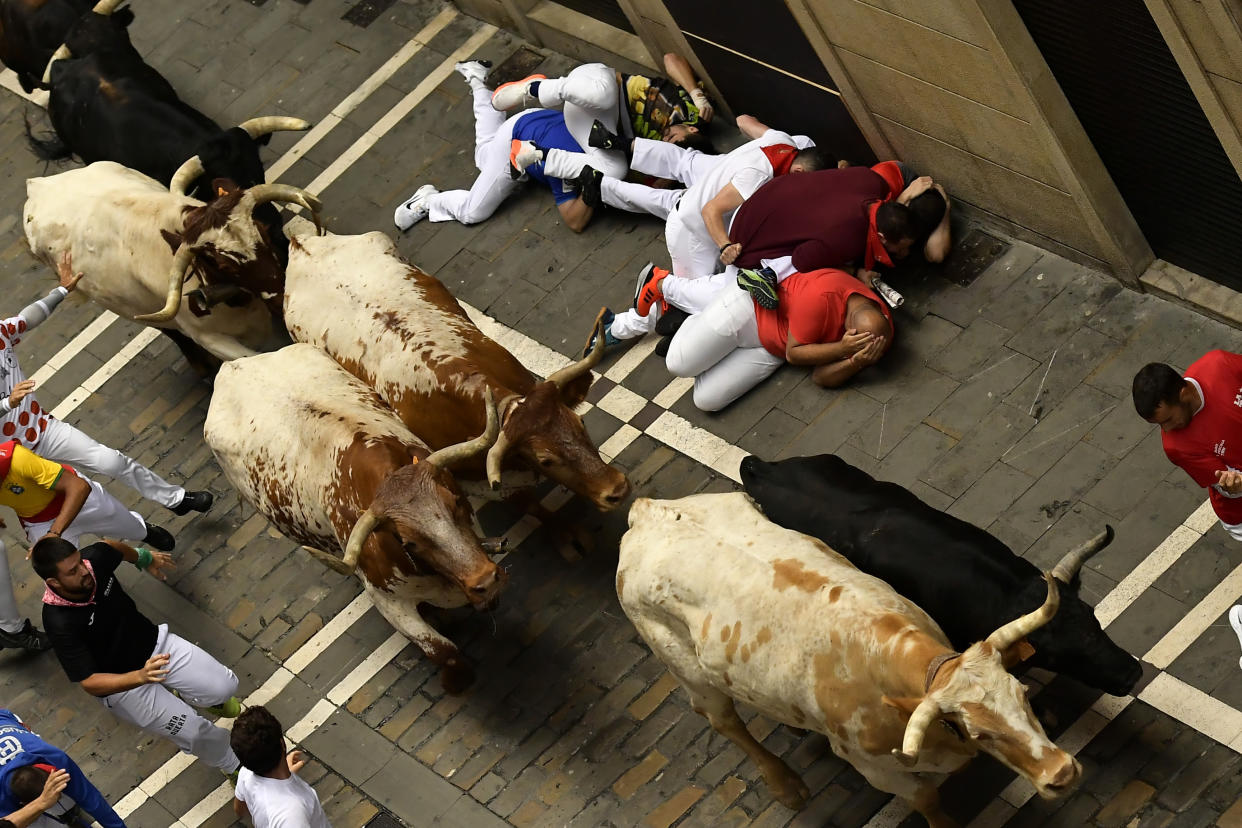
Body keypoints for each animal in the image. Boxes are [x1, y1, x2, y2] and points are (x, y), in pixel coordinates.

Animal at [206, 342, 506, 695]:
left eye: (455, 502)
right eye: (408, 543)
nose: (486, 581)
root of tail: (231, 368)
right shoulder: (388, 602)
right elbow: (445, 652)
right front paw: (455, 681)